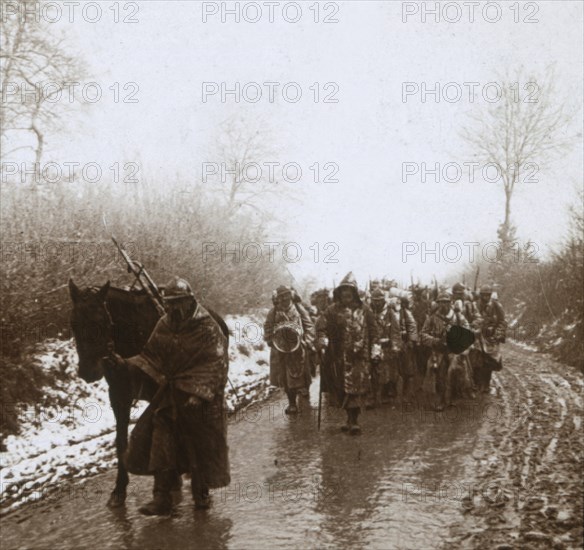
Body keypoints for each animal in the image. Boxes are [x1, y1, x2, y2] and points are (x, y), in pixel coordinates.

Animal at [69, 280, 230, 508]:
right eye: (73, 323)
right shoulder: (118, 395)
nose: (87, 372)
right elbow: (121, 441)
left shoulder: (160, 390)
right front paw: (119, 490)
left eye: (101, 321)